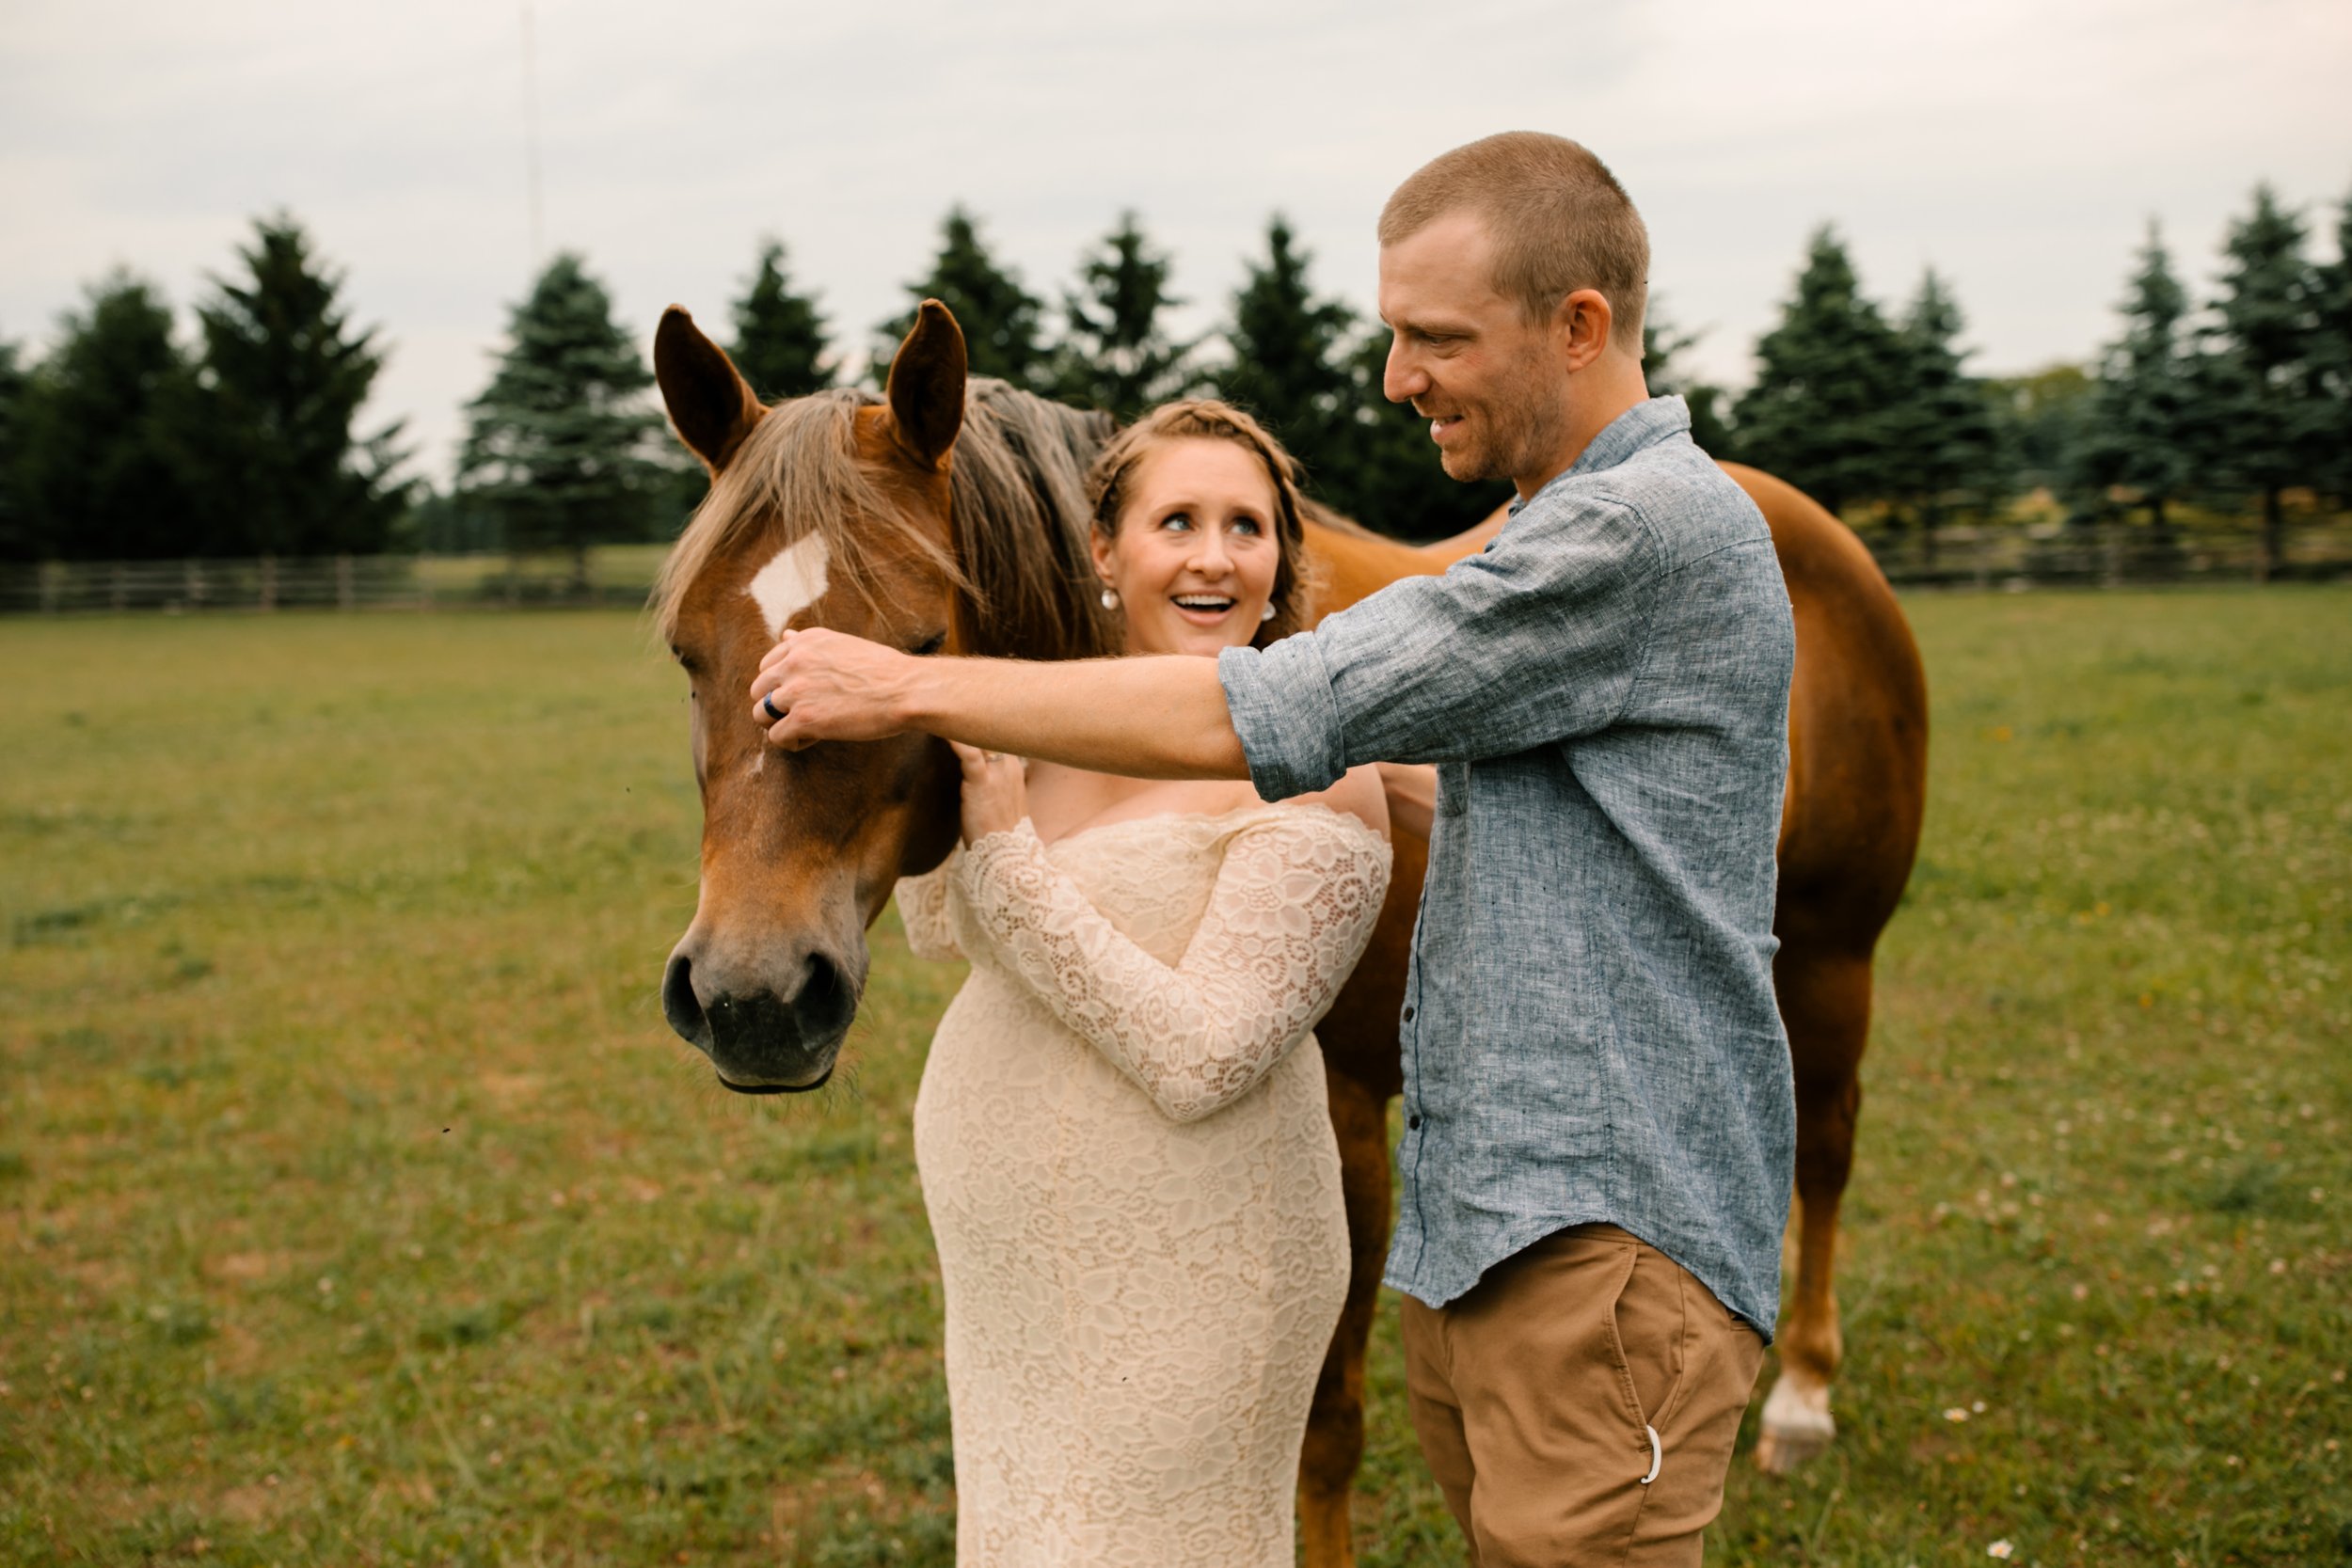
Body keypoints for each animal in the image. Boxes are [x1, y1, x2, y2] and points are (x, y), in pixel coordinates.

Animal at [649, 300, 1929, 1560]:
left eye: (911, 651)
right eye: (685, 650)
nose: (752, 996)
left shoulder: (1348, 1118)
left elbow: (1322, 1429)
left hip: (1832, 958)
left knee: (1823, 1146)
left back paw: (1803, 1397)